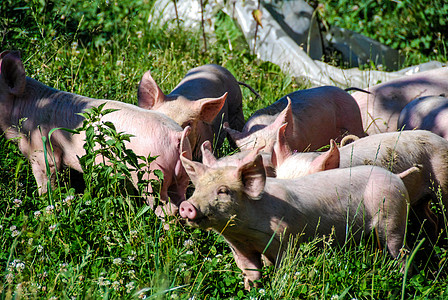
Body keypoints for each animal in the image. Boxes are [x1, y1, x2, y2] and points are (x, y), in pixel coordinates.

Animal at [0, 51, 191, 216]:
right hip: (182, 172)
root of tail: (176, 135)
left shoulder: (41, 149)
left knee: (167, 208)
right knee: (181, 200)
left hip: (150, 175)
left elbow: (47, 180)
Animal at [178, 151, 410, 290]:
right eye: (198, 188)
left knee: (401, 250)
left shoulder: (287, 239)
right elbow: (251, 272)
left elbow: (285, 267)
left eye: (223, 191)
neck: (247, 233)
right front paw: (252, 290)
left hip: (393, 216)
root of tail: (396, 177)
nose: (187, 205)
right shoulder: (240, 248)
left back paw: (401, 277)